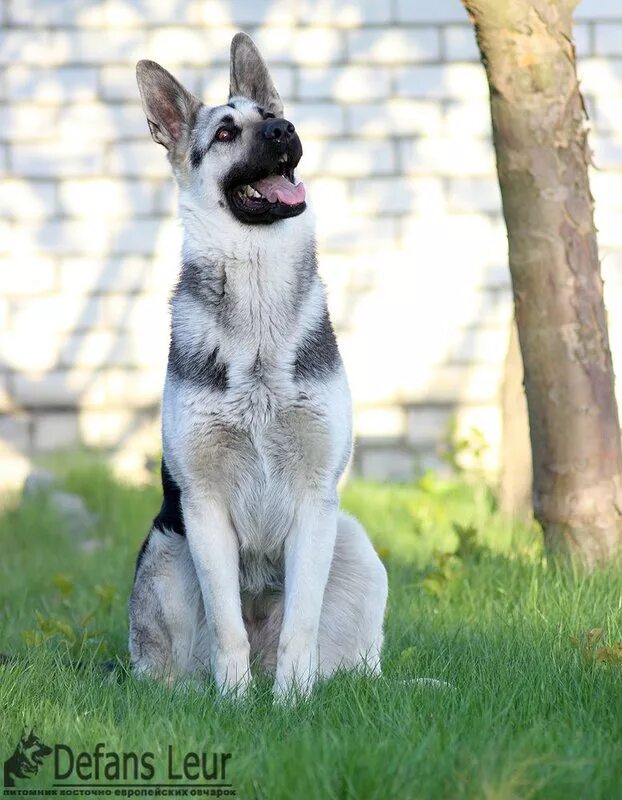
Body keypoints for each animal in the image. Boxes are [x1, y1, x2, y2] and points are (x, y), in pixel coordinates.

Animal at [129, 32, 388, 700]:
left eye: (271, 115)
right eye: (225, 133)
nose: (285, 130)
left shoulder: (316, 502)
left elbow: (301, 621)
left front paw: (292, 705)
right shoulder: (202, 509)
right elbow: (227, 625)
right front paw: (237, 704)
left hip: (352, 541)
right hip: (165, 553)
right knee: (170, 670)